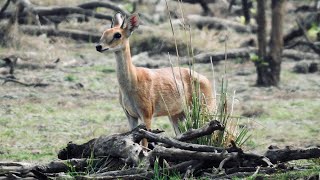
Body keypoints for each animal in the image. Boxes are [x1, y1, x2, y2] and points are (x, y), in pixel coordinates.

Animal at [95, 12, 215, 146]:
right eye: (105, 32)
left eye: (118, 34)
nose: (99, 46)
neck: (133, 82)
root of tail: (207, 80)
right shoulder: (129, 115)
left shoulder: (147, 113)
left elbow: (145, 143)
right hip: (176, 114)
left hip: (205, 107)